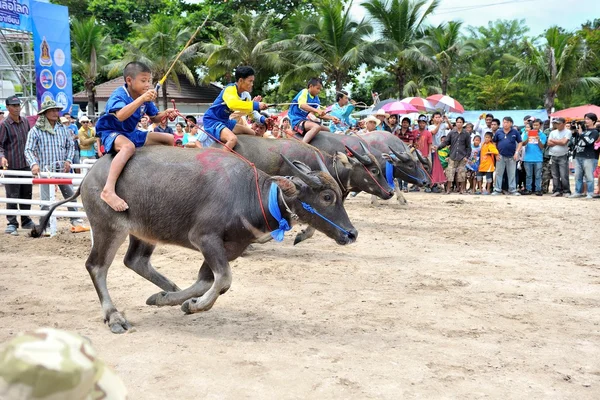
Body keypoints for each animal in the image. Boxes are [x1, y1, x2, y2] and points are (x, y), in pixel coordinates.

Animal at [31, 148, 356, 334]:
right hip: (108, 227)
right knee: (97, 266)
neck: (253, 195)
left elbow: (207, 281)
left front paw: (176, 300)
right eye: (327, 197)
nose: (352, 234)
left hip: (144, 231)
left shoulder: (229, 248)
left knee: (135, 260)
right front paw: (194, 305)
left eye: (340, 195)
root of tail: (88, 177)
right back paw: (114, 317)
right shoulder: (204, 238)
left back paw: (167, 290)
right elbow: (223, 279)